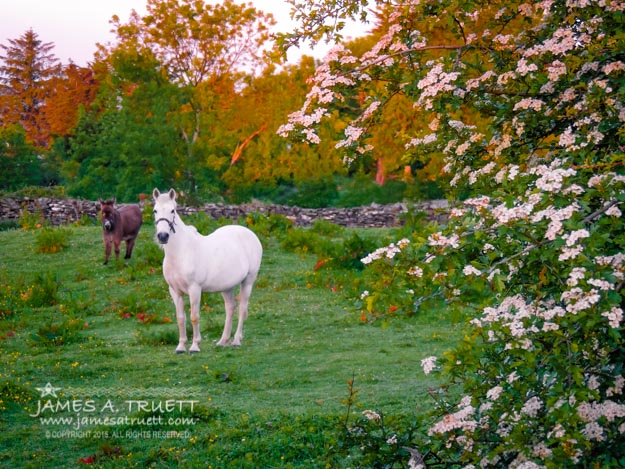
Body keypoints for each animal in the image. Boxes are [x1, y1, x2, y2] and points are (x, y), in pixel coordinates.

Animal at [152, 188, 262, 352]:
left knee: (242, 308)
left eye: (173, 210)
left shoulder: (194, 289)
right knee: (230, 308)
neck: (181, 252)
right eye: (155, 210)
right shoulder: (175, 291)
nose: (163, 236)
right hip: (227, 287)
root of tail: (250, 234)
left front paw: (195, 346)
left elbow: (194, 316)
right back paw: (223, 341)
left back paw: (236, 340)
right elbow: (180, 318)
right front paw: (181, 346)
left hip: (248, 281)